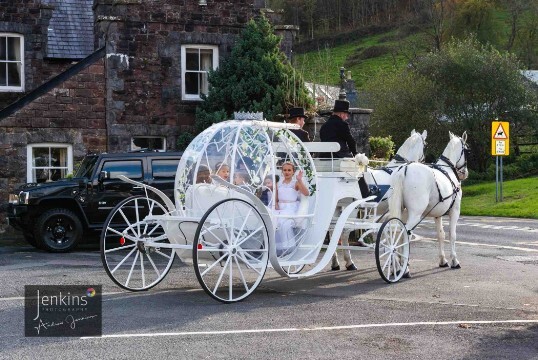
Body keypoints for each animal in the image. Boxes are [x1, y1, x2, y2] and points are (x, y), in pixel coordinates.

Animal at [328, 129, 426, 270]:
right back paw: (349, 262)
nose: (424, 160)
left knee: (331, 231)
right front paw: (399, 260)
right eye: (425, 144)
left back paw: (335, 262)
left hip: (336, 207)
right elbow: (400, 232)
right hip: (351, 210)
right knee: (344, 232)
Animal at [388, 131, 466, 270]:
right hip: (415, 214)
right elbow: (452, 235)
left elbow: (441, 235)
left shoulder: (437, 214)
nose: (464, 173)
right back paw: (404, 268)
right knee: (405, 232)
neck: (448, 169)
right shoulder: (455, 211)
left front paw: (443, 260)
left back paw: (397, 263)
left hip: (401, 211)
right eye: (467, 149)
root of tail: (404, 168)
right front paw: (454, 260)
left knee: (396, 230)